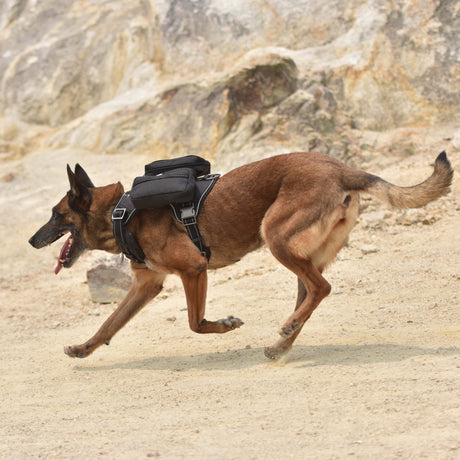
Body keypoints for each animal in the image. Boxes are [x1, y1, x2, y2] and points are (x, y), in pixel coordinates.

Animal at [27, 151, 452, 360]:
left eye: (55, 215)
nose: (31, 240)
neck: (121, 212)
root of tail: (342, 168)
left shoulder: (193, 270)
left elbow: (195, 323)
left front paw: (226, 324)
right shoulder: (146, 286)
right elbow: (109, 324)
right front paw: (83, 349)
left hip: (276, 236)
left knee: (323, 288)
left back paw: (284, 333)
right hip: (301, 252)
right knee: (311, 294)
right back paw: (282, 345)